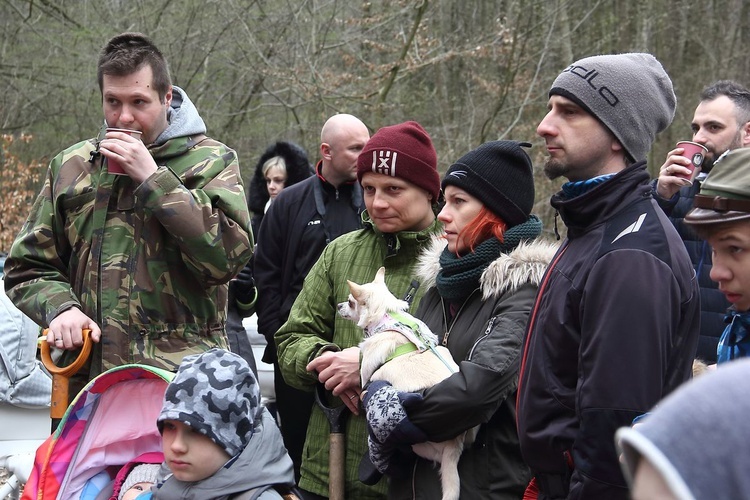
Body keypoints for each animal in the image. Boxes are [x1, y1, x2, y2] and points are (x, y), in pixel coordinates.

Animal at [340, 268, 476, 500]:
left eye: (350, 302)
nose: (340, 305)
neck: (387, 318)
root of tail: (455, 444)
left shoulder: (366, 375)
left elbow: (365, 383)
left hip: (419, 445)